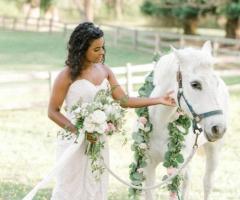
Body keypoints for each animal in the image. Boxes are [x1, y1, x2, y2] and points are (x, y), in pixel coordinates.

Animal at [145, 41, 230, 200]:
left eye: (215, 83)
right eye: (195, 84)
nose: (219, 128)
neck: (160, 124)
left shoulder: (175, 169)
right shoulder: (148, 166)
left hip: (214, 150)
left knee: (207, 183)